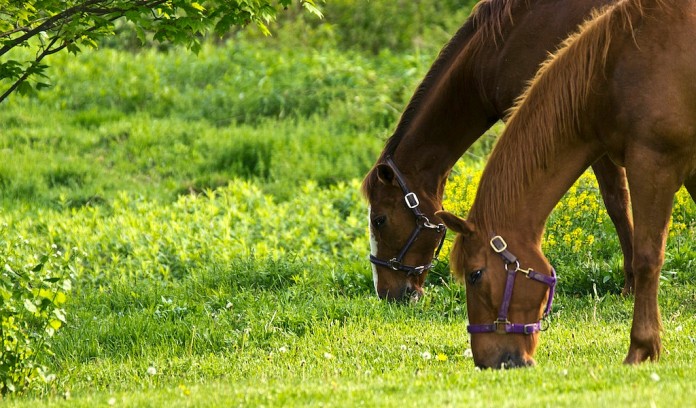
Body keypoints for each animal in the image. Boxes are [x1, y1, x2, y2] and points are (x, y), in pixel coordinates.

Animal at [438, 0, 696, 368]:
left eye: (475, 275)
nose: (489, 361)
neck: (612, 68)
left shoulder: (652, 164)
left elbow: (647, 258)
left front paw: (641, 347)